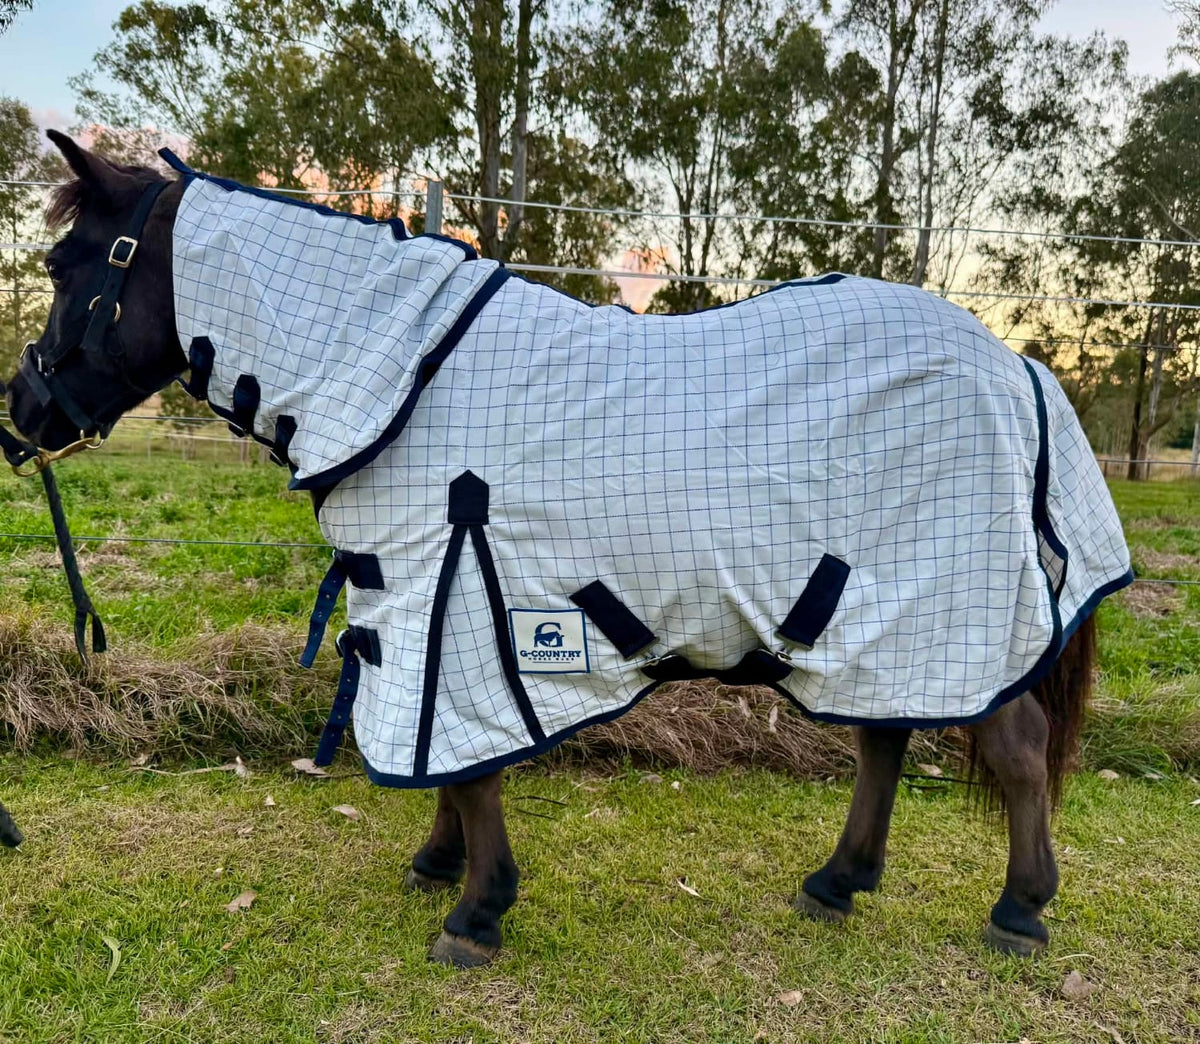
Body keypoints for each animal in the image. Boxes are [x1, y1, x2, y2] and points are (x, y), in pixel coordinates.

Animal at [4, 132, 1132, 968]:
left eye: (65, 266)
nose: (20, 416)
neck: (398, 376)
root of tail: (1018, 363)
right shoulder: (418, 600)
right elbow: (450, 756)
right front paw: (440, 864)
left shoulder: (447, 591)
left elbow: (467, 762)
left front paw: (475, 911)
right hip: (880, 614)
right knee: (885, 735)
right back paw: (837, 882)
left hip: (949, 600)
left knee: (1014, 744)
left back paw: (1020, 909)